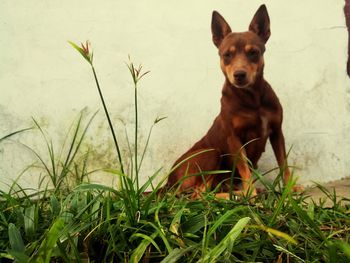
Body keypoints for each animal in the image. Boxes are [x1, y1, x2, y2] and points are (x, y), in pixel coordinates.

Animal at [166, 4, 290, 198]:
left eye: (253, 52)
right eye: (226, 55)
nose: (239, 75)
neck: (253, 99)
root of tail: (168, 182)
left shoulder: (277, 131)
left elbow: (284, 164)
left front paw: (291, 189)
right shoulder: (234, 138)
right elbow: (244, 168)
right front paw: (250, 193)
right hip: (211, 153)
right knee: (199, 195)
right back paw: (238, 195)